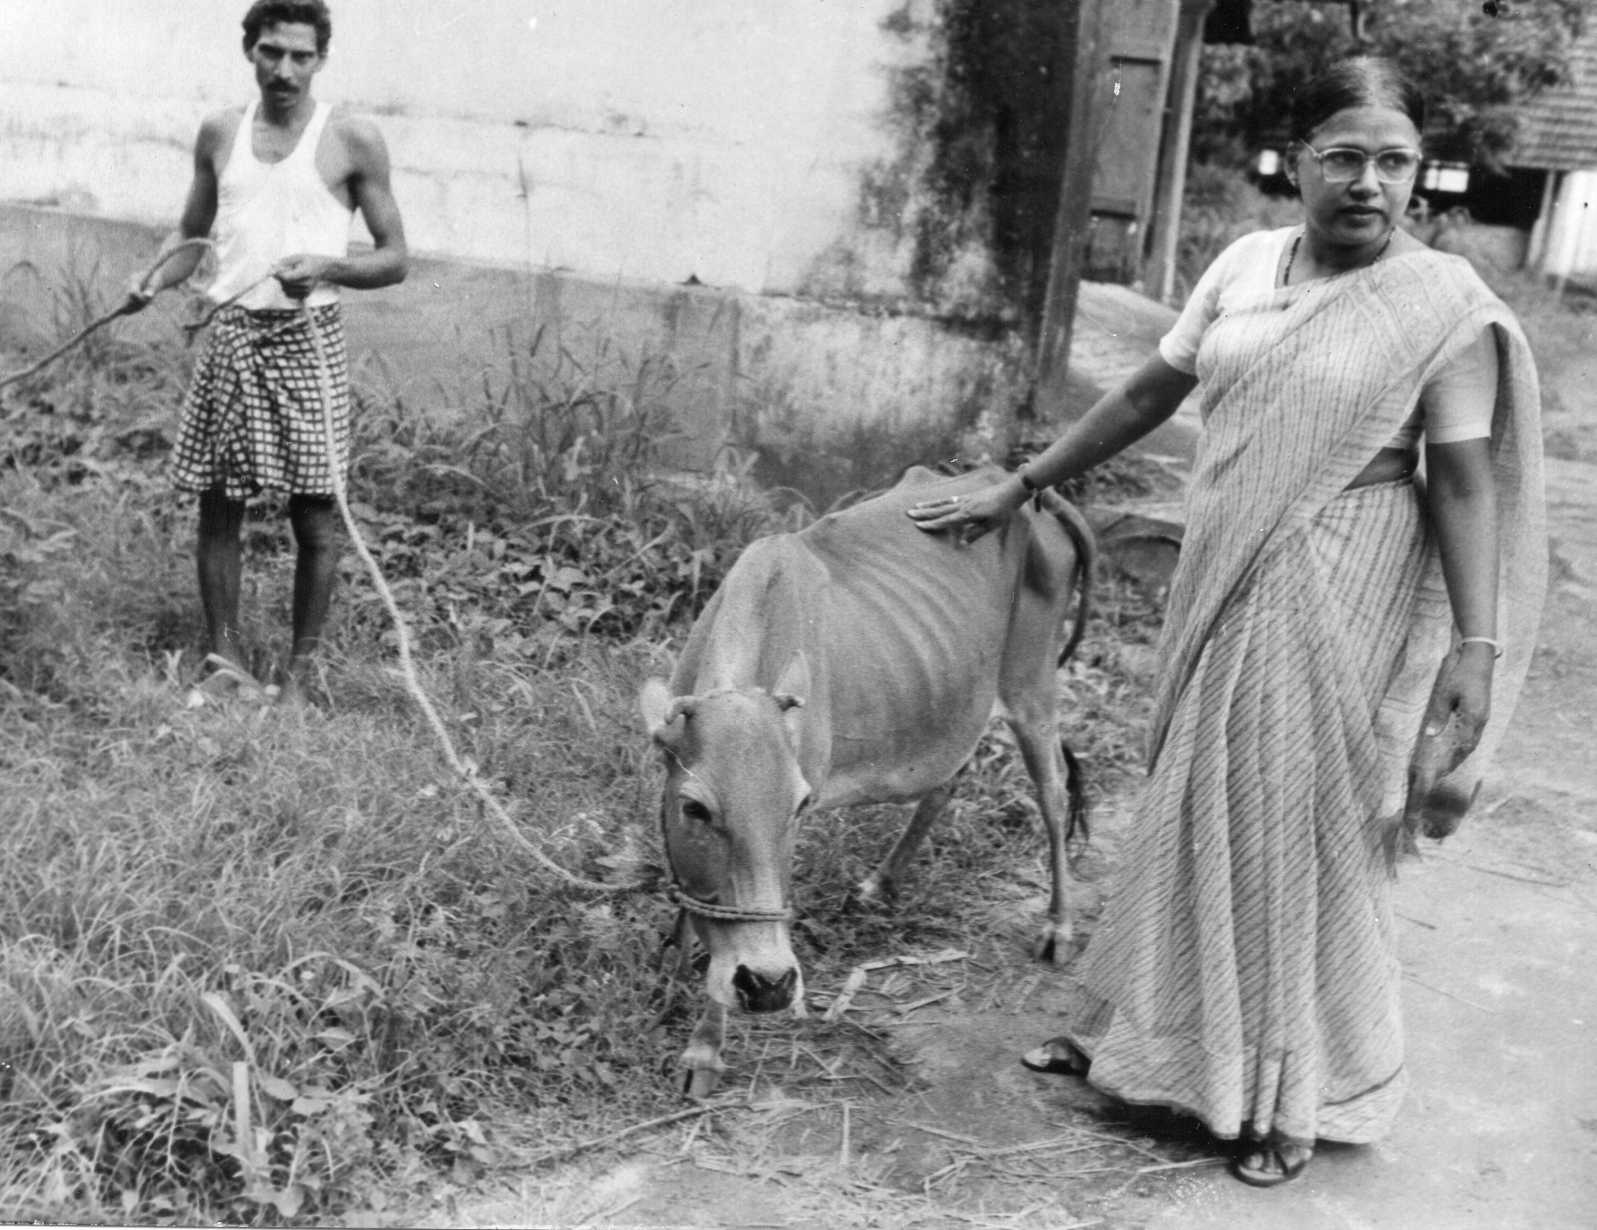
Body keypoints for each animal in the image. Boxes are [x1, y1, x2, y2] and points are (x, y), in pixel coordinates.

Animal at [641, 463, 1092, 1092]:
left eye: (800, 807)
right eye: (695, 809)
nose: (771, 985)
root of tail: (1013, 481)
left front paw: (704, 1050)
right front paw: (674, 967)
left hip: (1032, 686)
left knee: (1052, 794)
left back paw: (1060, 926)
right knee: (949, 777)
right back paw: (880, 884)